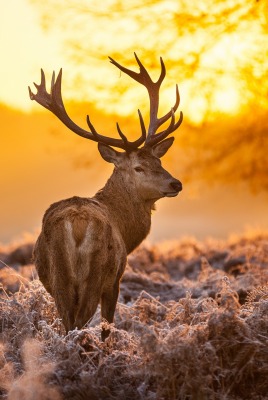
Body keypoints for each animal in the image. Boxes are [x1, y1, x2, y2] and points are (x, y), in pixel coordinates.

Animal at [29, 54, 183, 340]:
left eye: (159, 161)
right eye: (138, 167)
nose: (175, 183)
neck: (125, 228)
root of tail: (77, 224)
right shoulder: (115, 281)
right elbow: (107, 328)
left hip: (59, 279)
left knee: (68, 324)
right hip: (96, 274)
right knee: (79, 324)